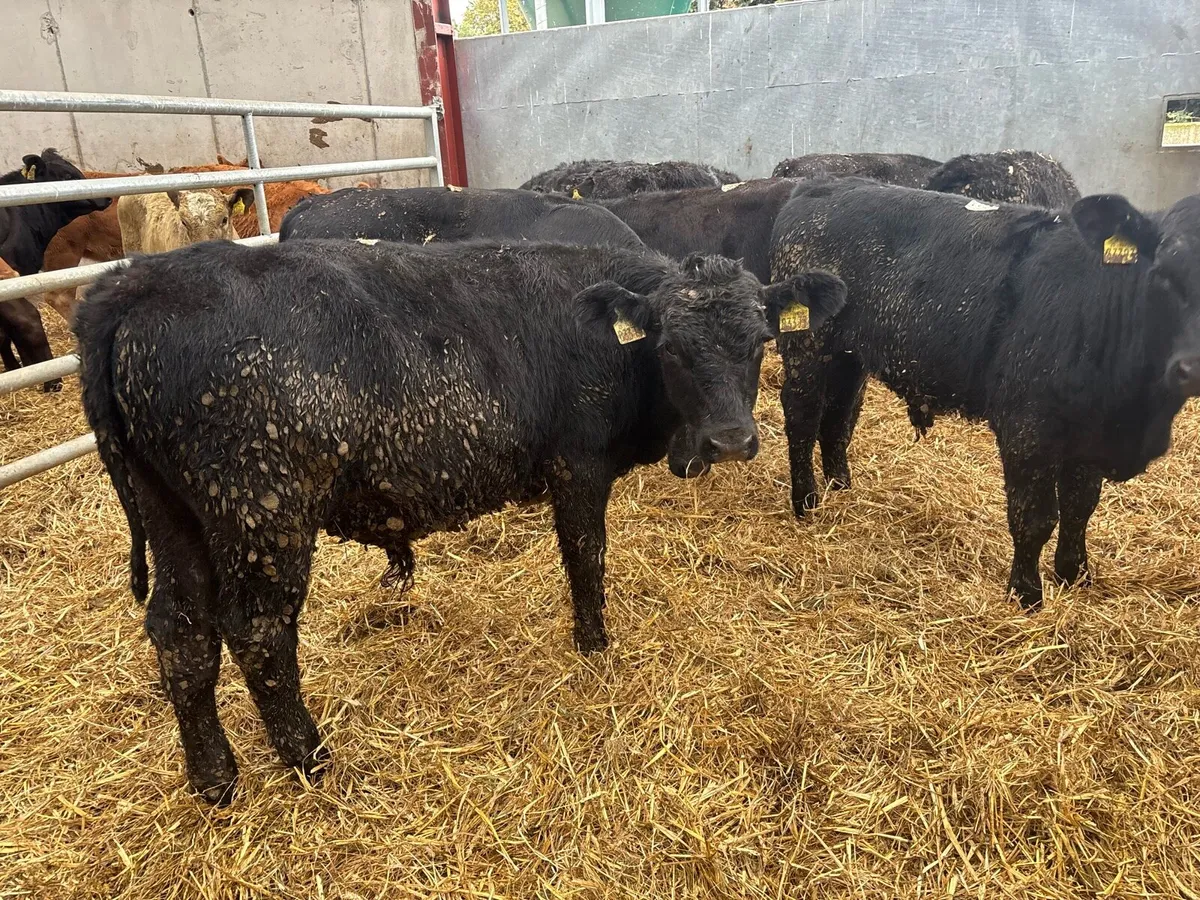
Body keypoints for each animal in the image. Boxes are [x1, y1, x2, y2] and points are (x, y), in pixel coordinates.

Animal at [75, 238, 846, 802]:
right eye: (671, 349)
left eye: (761, 341)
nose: (731, 442)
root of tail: (140, 281)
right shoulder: (578, 465)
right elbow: (586, 555)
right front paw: (594, 645)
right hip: (263, 510)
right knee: (258, 632)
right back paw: (312, 759)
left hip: (175, 515)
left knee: (181, 630)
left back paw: (215, 778)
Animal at [769, 176, 1200, 610]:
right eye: (1162, 273)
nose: (1192, 366)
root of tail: (821, 184)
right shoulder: (1027, 431)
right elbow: (1034, 518)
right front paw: (1026, 594)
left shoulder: (1088, 436)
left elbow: (1080, 508)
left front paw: (1075, 575)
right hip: (806, 346)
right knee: (802, 417)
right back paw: (806, 501)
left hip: (849, 357)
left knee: (839, 416)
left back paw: (841, 487)